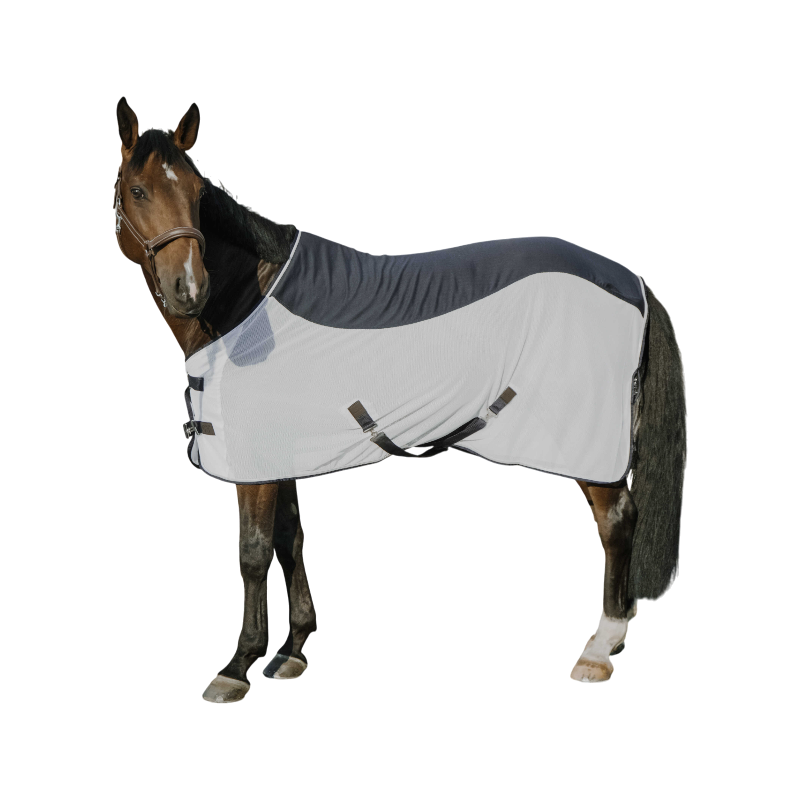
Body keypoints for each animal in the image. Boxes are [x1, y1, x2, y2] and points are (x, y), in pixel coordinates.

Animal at [114, 99, 687, 701]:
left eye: (197, 192)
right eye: (138, 190)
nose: (189, 288)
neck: (250, 296)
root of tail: (630, 279)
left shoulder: (254, 463)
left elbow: (252, 551)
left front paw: (237, 667)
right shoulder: (281, 452)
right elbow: (290, 541)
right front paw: (292, 652)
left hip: (590, 442)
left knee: (617, 522)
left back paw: (600, 649)